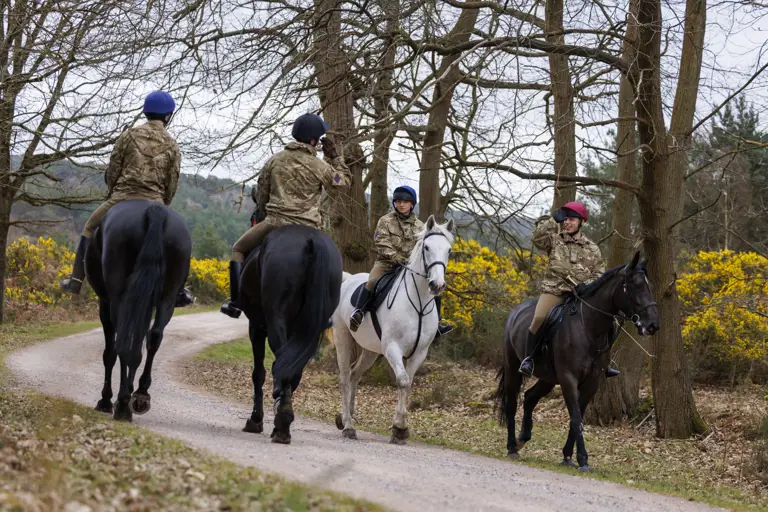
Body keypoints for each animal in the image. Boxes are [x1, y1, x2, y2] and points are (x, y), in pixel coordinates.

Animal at [86, 199, 192, 422]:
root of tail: (154, 210)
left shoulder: (105, 303)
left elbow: (109, 353)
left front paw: (106, 400)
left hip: (118, 298)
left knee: (122, 342)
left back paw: (122, 404)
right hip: (167, 298)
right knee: (154, 336)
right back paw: (140, 395)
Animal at [238, 224, 343, 444]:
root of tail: (312, 242)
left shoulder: (256, 327)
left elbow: (258, 373)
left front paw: (255, 420)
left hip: (276, 320)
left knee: (281, 363)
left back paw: (282, 423)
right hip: (310, 329)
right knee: (293, 369)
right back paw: (284, 419)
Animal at [332, 215, 455, 444]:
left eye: (449, 250)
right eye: (426, 247)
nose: (437, 285)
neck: (418, 303)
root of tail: (349, 279)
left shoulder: (419, 353)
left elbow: (408, 383)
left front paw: (400, 428)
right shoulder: (392, 348)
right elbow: (403, 381)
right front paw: (399, 427)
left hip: (370, 350)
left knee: (354, 375)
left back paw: (346, 417)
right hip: (343, 337)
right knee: (344, 378)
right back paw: (348, 427)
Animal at [494, 251, 659, 471]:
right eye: (637, 286)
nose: (653, 325)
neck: (589, 327)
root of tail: (515, 312)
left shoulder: (591, 382)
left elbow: (577, 417)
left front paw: (568, 457)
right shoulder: (568, 379)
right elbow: (576, 418)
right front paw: (583, 459)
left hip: (548, 378)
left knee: (529, 397)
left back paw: (523, 438)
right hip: (514, 368)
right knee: (512, 403)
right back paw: (512, 447)